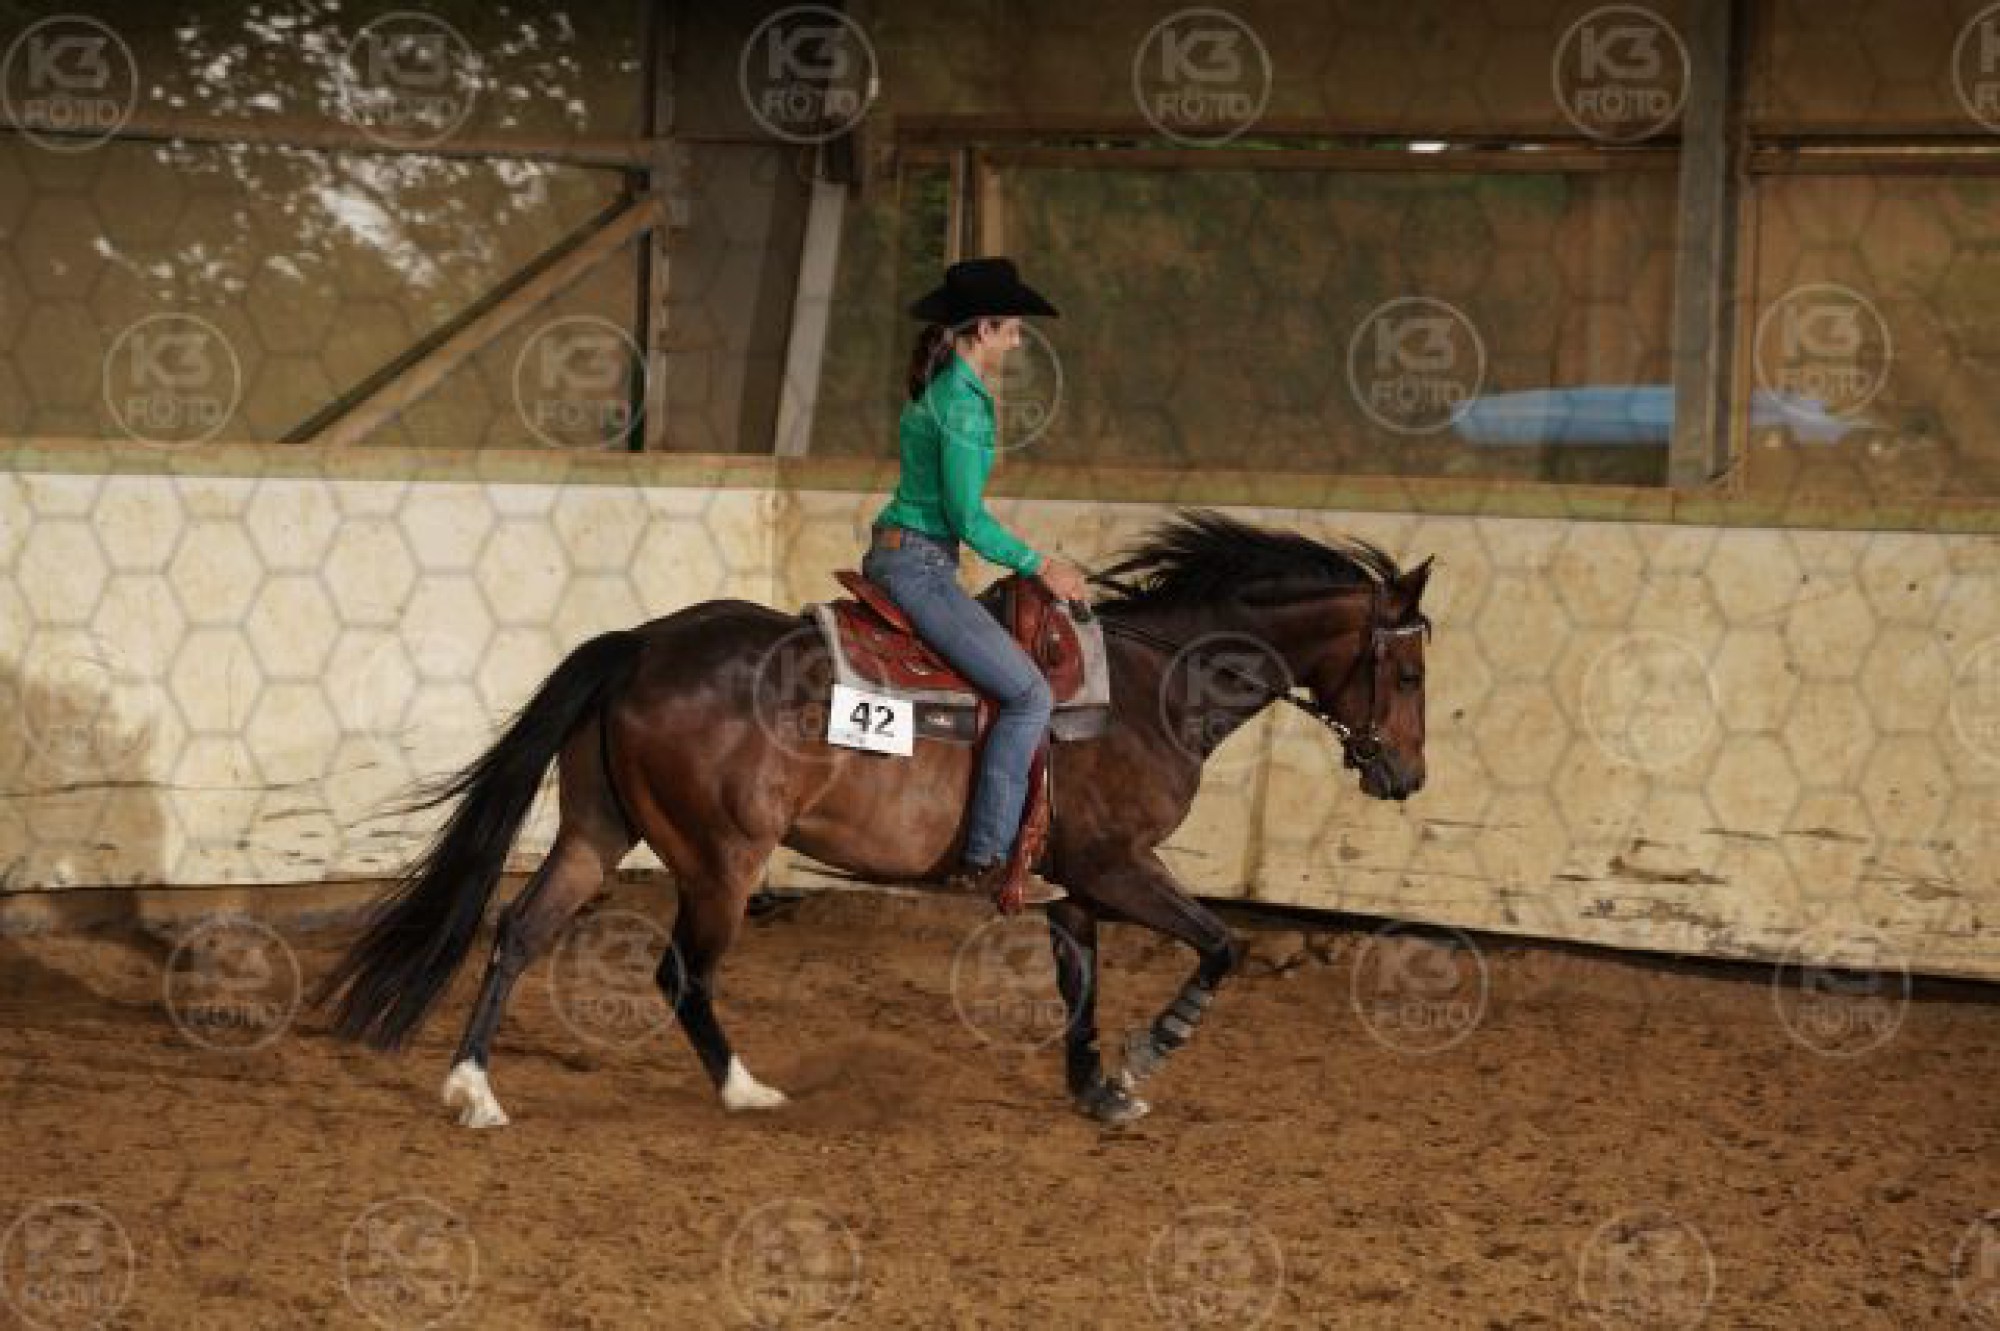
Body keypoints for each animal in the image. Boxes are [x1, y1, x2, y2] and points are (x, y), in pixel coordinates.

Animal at [317, 509, 1433, 1126]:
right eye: (1413, 668)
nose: (1408, 774)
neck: (1149, 686)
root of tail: (638, 643)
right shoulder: (1121, 865)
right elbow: (1218, 946)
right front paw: (1151, 1052)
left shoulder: (1072, 881)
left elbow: (1080, 985)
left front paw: (1097, 1088)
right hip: (721, 859)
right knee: (680, 973)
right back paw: (745, 1090)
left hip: (597, 830)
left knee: (518, 931)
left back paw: (474, 1089)